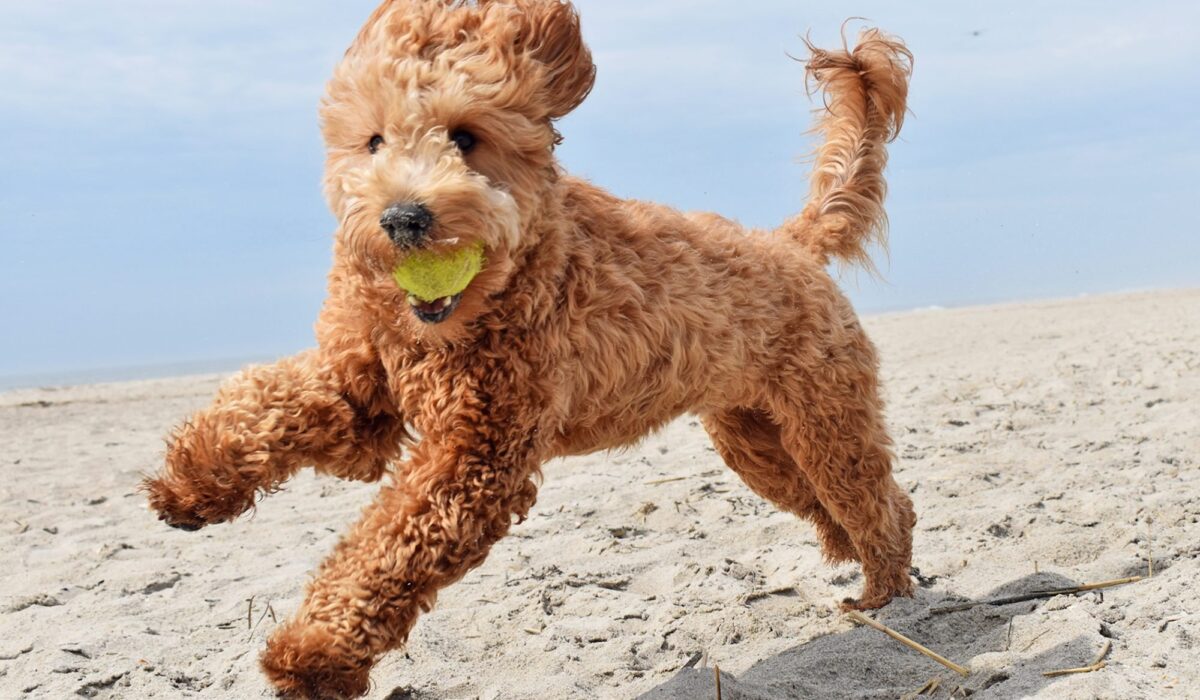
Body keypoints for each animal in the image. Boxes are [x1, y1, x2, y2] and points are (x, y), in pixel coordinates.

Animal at [142, 2, 907, 696]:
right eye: (374, 141)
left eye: (466, 137)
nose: (402, 218)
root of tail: (790, 242)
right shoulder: (360, 388)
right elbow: (265, 404)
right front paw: (192, 481)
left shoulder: (477, 456)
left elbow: (386, 549)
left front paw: (314, 652)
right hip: (756, 440)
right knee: (832, 503)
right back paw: (852, 559)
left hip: (825, 422)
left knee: (880, 502)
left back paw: (883, 593)